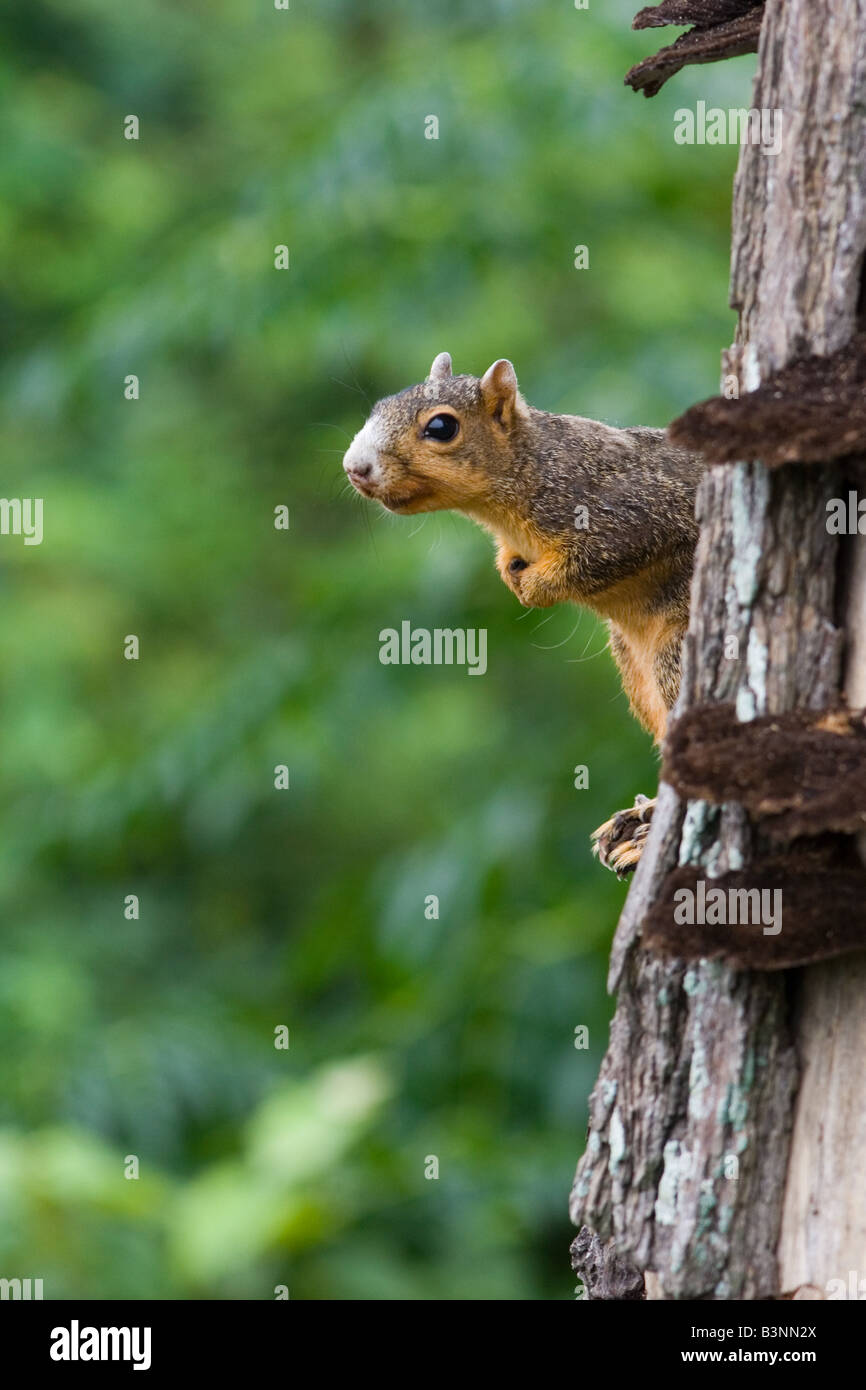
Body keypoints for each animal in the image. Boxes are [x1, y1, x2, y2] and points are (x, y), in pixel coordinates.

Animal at [343, 353, 706, 872]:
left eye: (440, 427)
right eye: (378, 406)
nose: (355, 467)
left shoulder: (631, 512)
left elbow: (606, 554)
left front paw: (536, 587)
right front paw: (510, 573)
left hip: (674, 652)